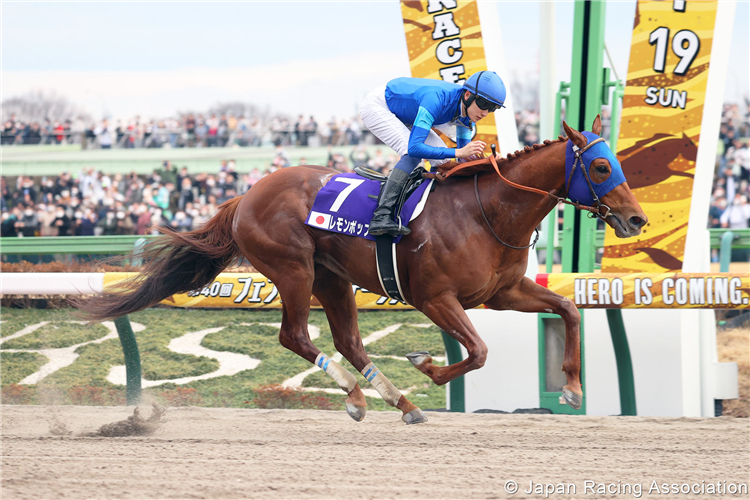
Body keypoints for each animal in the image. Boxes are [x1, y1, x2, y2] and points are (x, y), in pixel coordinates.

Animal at [79, 117, 648, 422]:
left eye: (619, 161)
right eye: (601, 166)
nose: (637, 218)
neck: (486, 211)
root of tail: (246, 194)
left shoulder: (502, 291)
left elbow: (567, 307)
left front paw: (571, 387)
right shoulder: (436, 298)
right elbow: (479, 351)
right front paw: (428, 366)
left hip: (332, 277)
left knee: (348, 341)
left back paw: (398, 400)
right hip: (294, 269)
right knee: (294, 335)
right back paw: (356, 396)